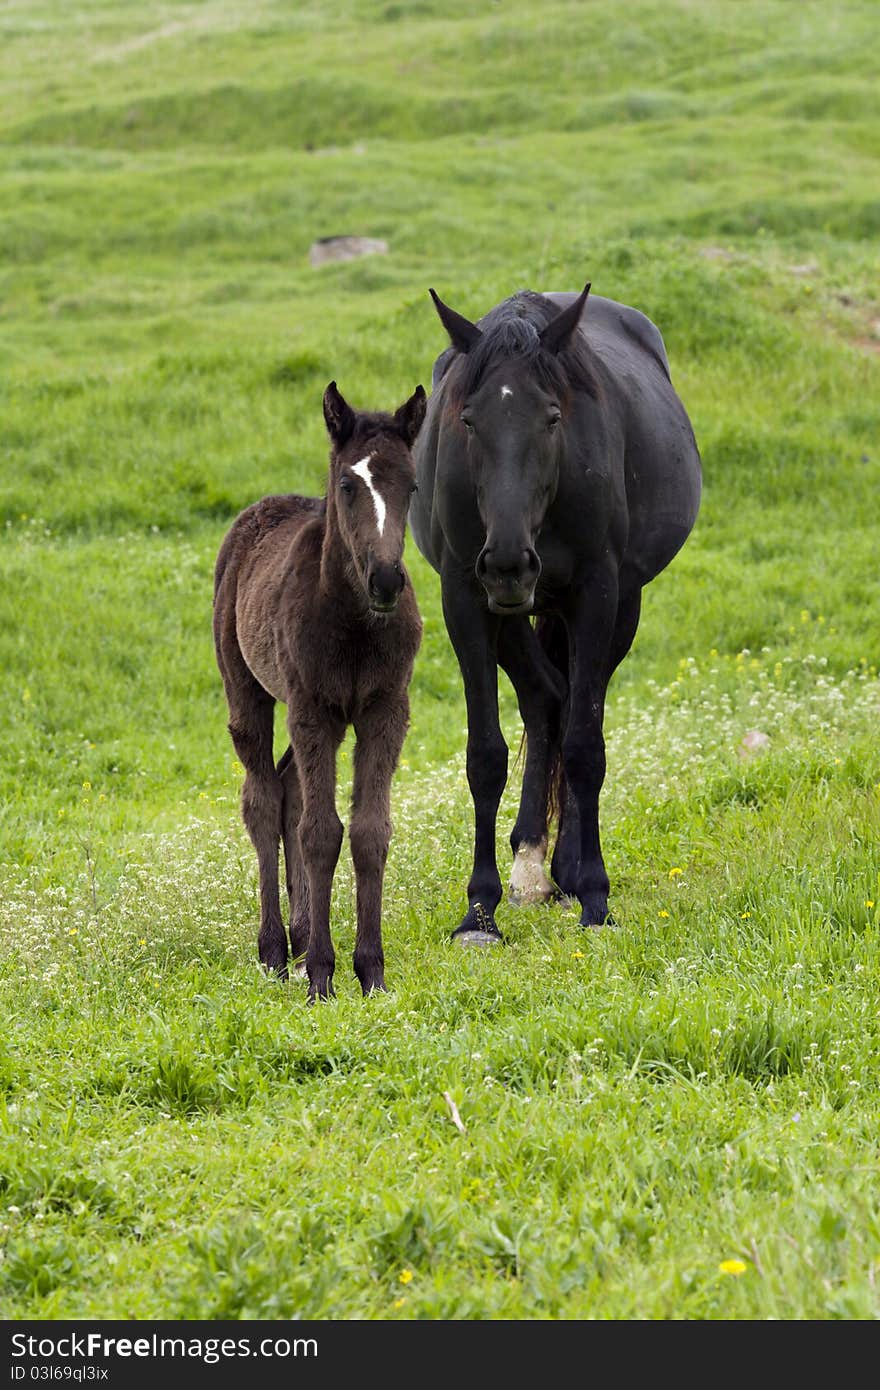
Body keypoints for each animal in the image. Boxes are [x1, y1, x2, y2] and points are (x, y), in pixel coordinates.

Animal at [408, 279, 703, 945]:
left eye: (552, 416)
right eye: (468, 418)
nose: (509, 563)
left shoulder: (598, 593)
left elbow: (586, 748)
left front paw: (595, 895)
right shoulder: (465, 599)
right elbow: (485, 755)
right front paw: (478, 911)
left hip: (617, 607)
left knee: (570, 709)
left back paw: (564, 869)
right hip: (511, 616)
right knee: (546, 700)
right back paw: (530, 866)